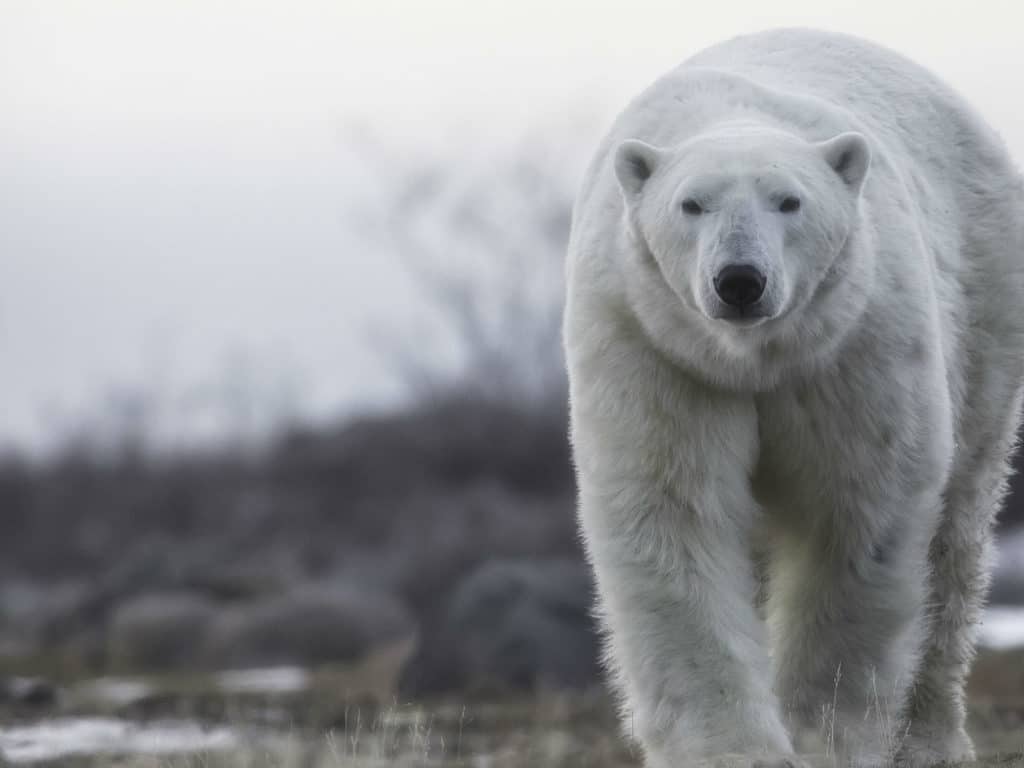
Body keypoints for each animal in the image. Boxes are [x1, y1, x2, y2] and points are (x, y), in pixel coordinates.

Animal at [563, 28, 1024, 768]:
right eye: (691, 204)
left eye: (789, 201)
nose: (739, 281)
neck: (754, 358)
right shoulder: (655, 344)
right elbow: (673, 509)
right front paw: (732, 748)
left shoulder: (851, 344)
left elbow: (854, 514)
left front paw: (822, 737)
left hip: (987, 304)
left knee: (957, 532)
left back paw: (932, 739)